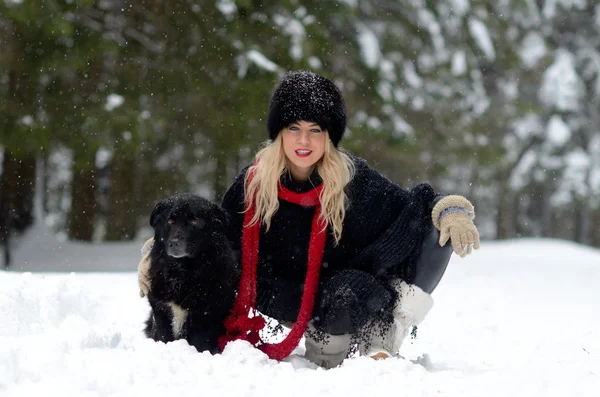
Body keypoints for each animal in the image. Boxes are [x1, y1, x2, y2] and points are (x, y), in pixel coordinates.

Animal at [144, 193, 239, 352]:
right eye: (170, 220)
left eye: (194, 221)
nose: (174, 243)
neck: (182, 272)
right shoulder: (161, 313)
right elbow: (164, 338)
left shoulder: (205, 318)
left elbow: (199, 344)